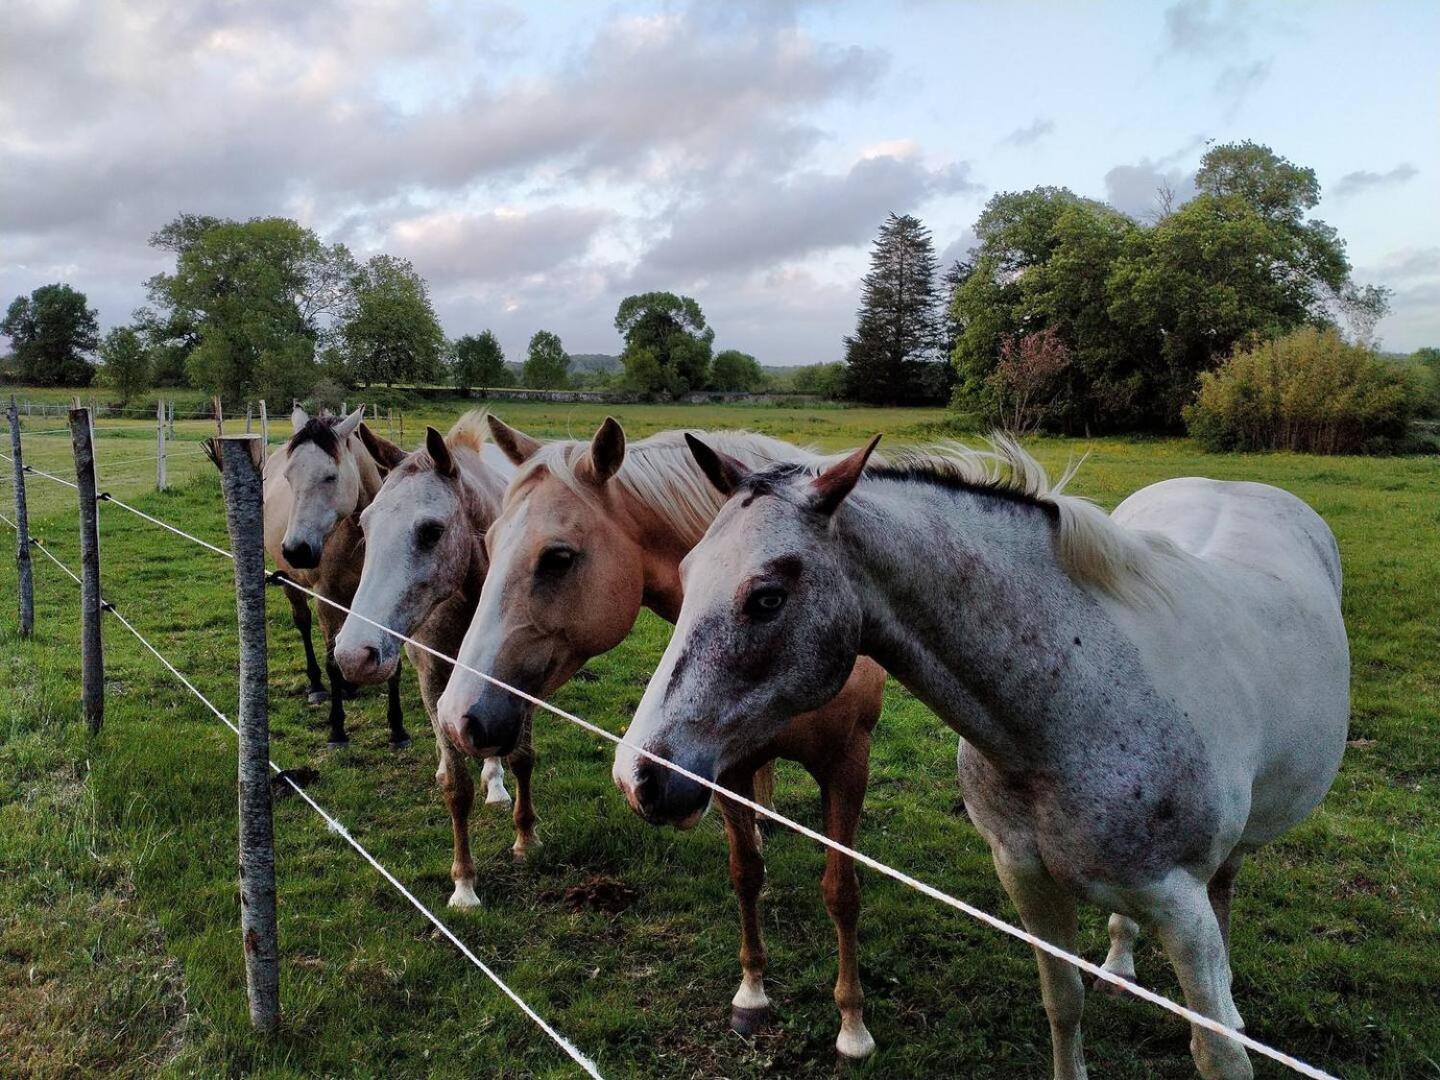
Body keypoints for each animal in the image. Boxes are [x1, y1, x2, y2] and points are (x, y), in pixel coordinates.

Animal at [332, 417, 524, 915]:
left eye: (432, 530)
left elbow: (518, 755)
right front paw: (464, 886)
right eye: (365, 524)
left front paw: (523, 834)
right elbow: (455, 787)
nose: (353, 656)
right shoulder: (434, 682)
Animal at [432, 417, 887, 1059]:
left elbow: (842, 891)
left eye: (558, 557)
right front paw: (752, 996)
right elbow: (745, 873)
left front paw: (852, 1026)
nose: (458, 717)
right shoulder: (725, 767)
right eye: (490, 544)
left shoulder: (850, 765)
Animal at [619, 434, 1347, 1080]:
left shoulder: (1181, 906)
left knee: (1227, 887)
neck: (1070, 710)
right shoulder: (1026, 877)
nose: (640, 777)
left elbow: (1216, 1054)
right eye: (685, 573)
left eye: (767, 597)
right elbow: (1063, 1005)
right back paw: (1118, 966)